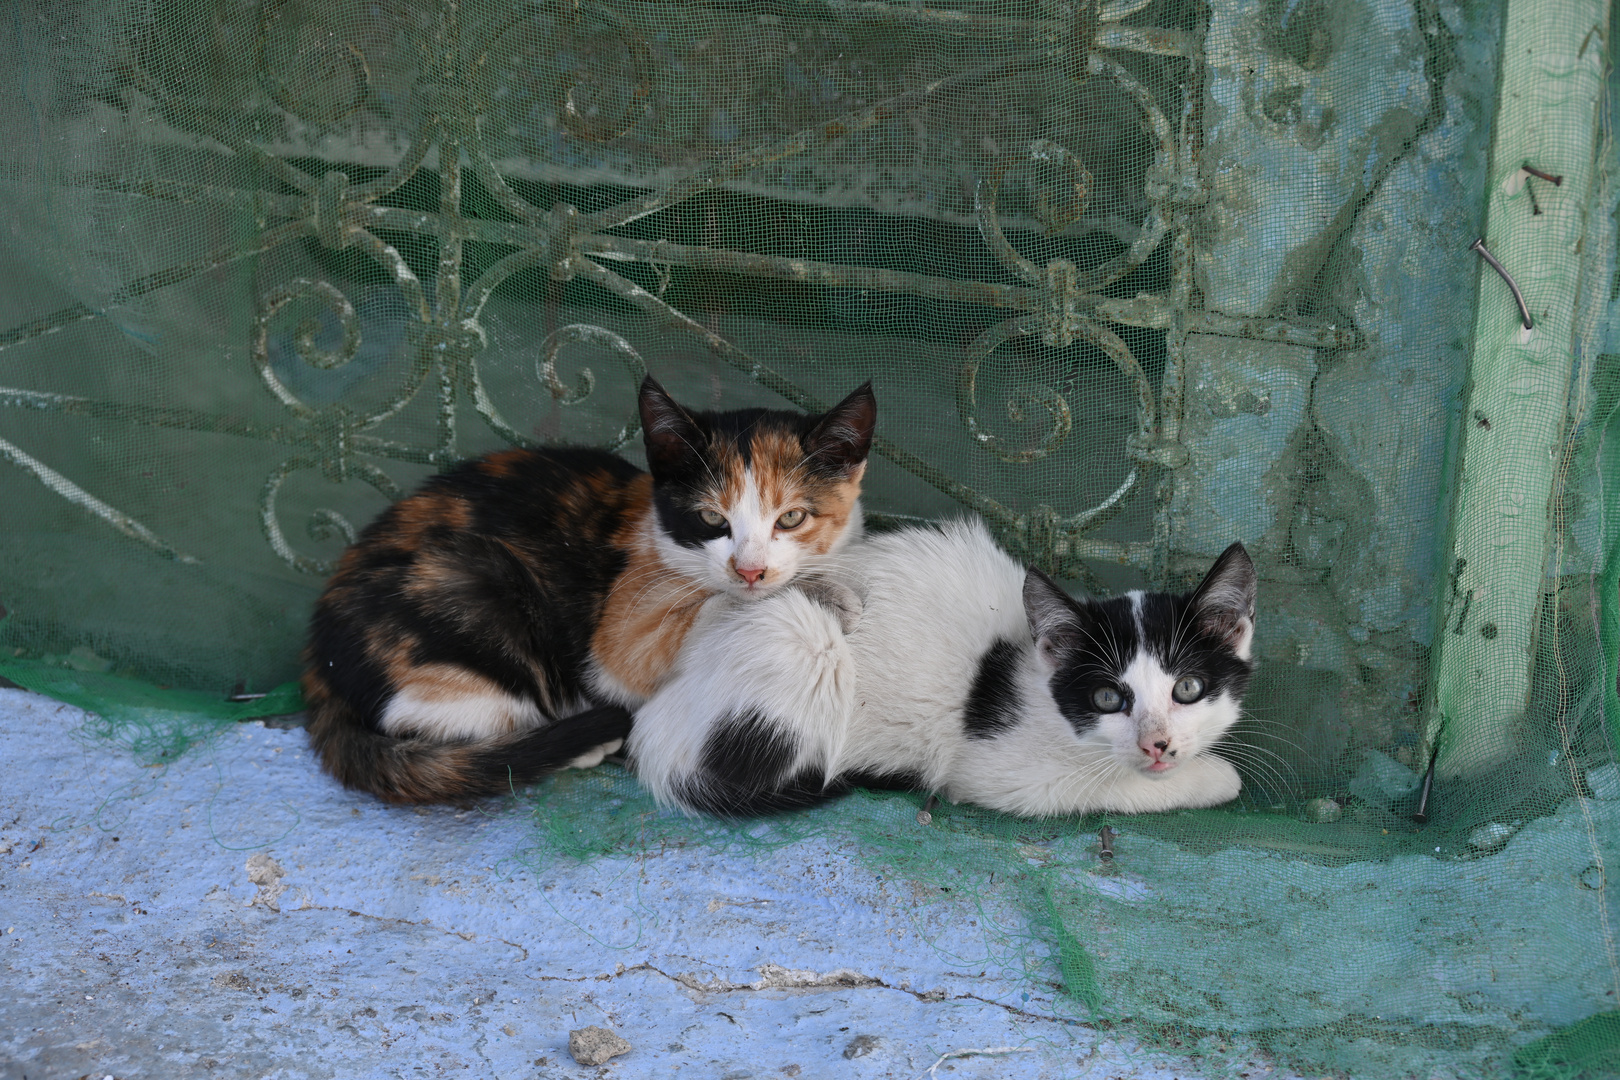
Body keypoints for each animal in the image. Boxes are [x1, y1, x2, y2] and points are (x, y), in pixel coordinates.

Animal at [301, 374, 874, 803]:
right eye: (712, 519)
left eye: (792, 518)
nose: (750, 570)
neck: (656, 532)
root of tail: (318, 669)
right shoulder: (621, 635)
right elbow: (706, 607)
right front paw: (829, 593)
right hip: (475, 582)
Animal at [625, 524, 1257, 819]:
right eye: (1107, 698)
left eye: (1189, 689)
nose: (1157, 744)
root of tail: (654, 726)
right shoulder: (997, 769)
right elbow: (1104, 787)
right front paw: (1216, 778)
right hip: (800, 637)